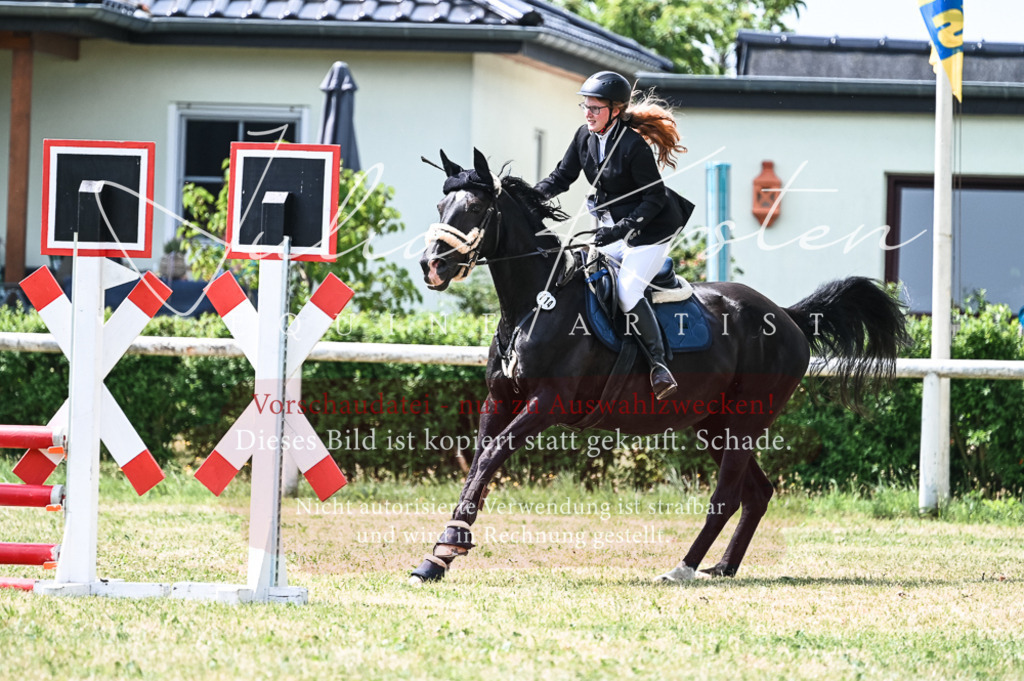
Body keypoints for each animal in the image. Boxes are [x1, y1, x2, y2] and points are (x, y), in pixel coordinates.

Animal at [413, 149, 908, 584]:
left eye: (475, 207)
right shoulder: (500, 399)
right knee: (757, 493)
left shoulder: (547, 403)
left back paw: (683, 567)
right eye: (440, 204)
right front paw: (440, 555)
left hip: (747, 420)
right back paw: (723, 567)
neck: (533, 304)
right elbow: (478, 461)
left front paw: (450, 545)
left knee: (726, 496)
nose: (431, 265)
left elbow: (491, 457)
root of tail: (787, 316)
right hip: (715, 425)